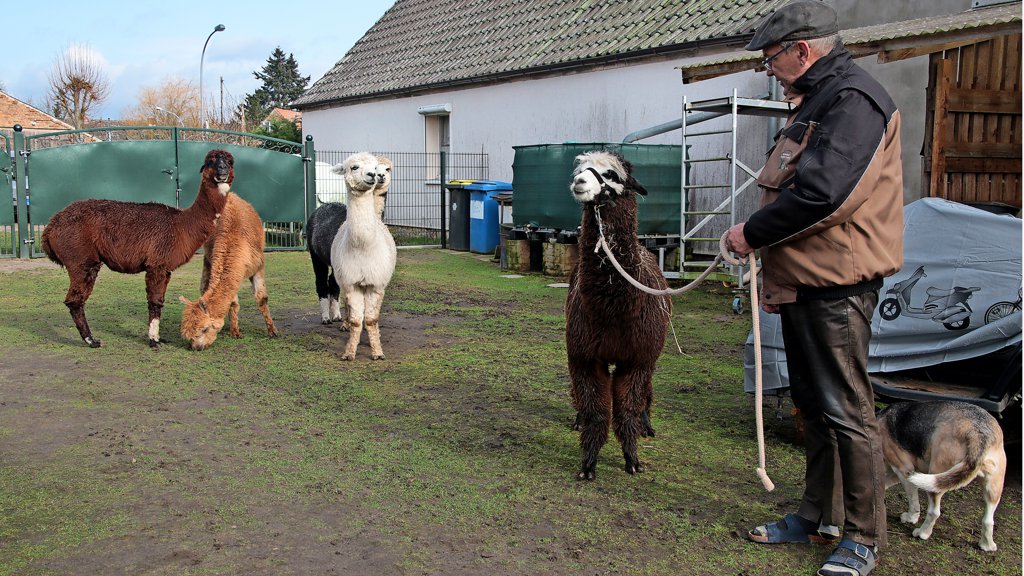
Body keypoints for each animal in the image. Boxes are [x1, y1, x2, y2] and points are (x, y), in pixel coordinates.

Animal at [876, 399, 1003, 553]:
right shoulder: (896, 472)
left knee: (934, 512)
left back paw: (922, 533)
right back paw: (987, 545)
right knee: (988, 520)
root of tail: (978, 432)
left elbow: (913, 501)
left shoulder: (904, 469)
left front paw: (911, 518)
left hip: (934, 476)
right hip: (993, 487)